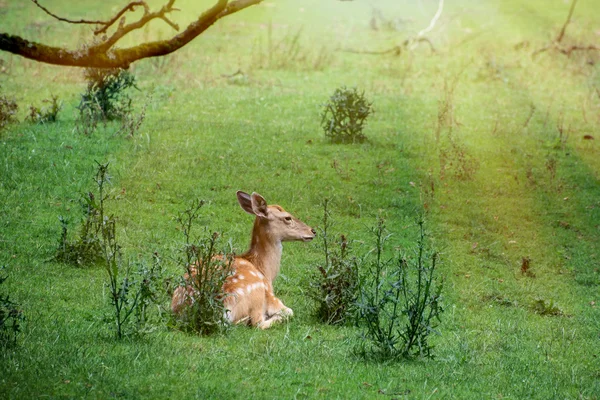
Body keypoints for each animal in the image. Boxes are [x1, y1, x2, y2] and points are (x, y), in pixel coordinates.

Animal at [171, 192, 316, 330]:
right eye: (287, 217)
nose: (313, 230)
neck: (265, 271)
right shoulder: (271, 296)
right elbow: (289, 311)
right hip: (255, 293)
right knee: (258, 323)